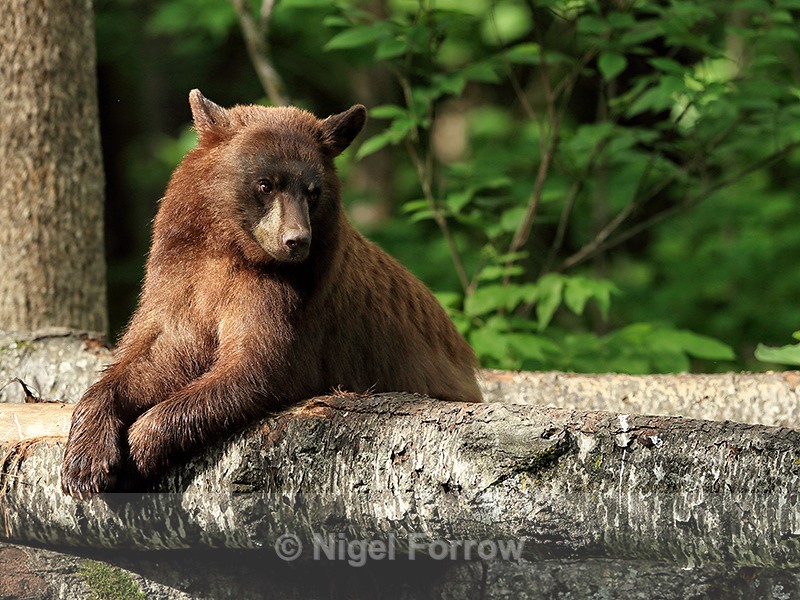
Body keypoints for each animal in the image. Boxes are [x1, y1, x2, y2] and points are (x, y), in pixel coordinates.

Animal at [61, 90, 481, 498]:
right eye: (265, 183)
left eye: (313, 191)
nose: (297, 240)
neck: (232, 250)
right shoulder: (184, 279)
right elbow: (158, 353)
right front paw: (86, 462)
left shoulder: (283, 299)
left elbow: (257, 366)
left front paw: (141, 443)